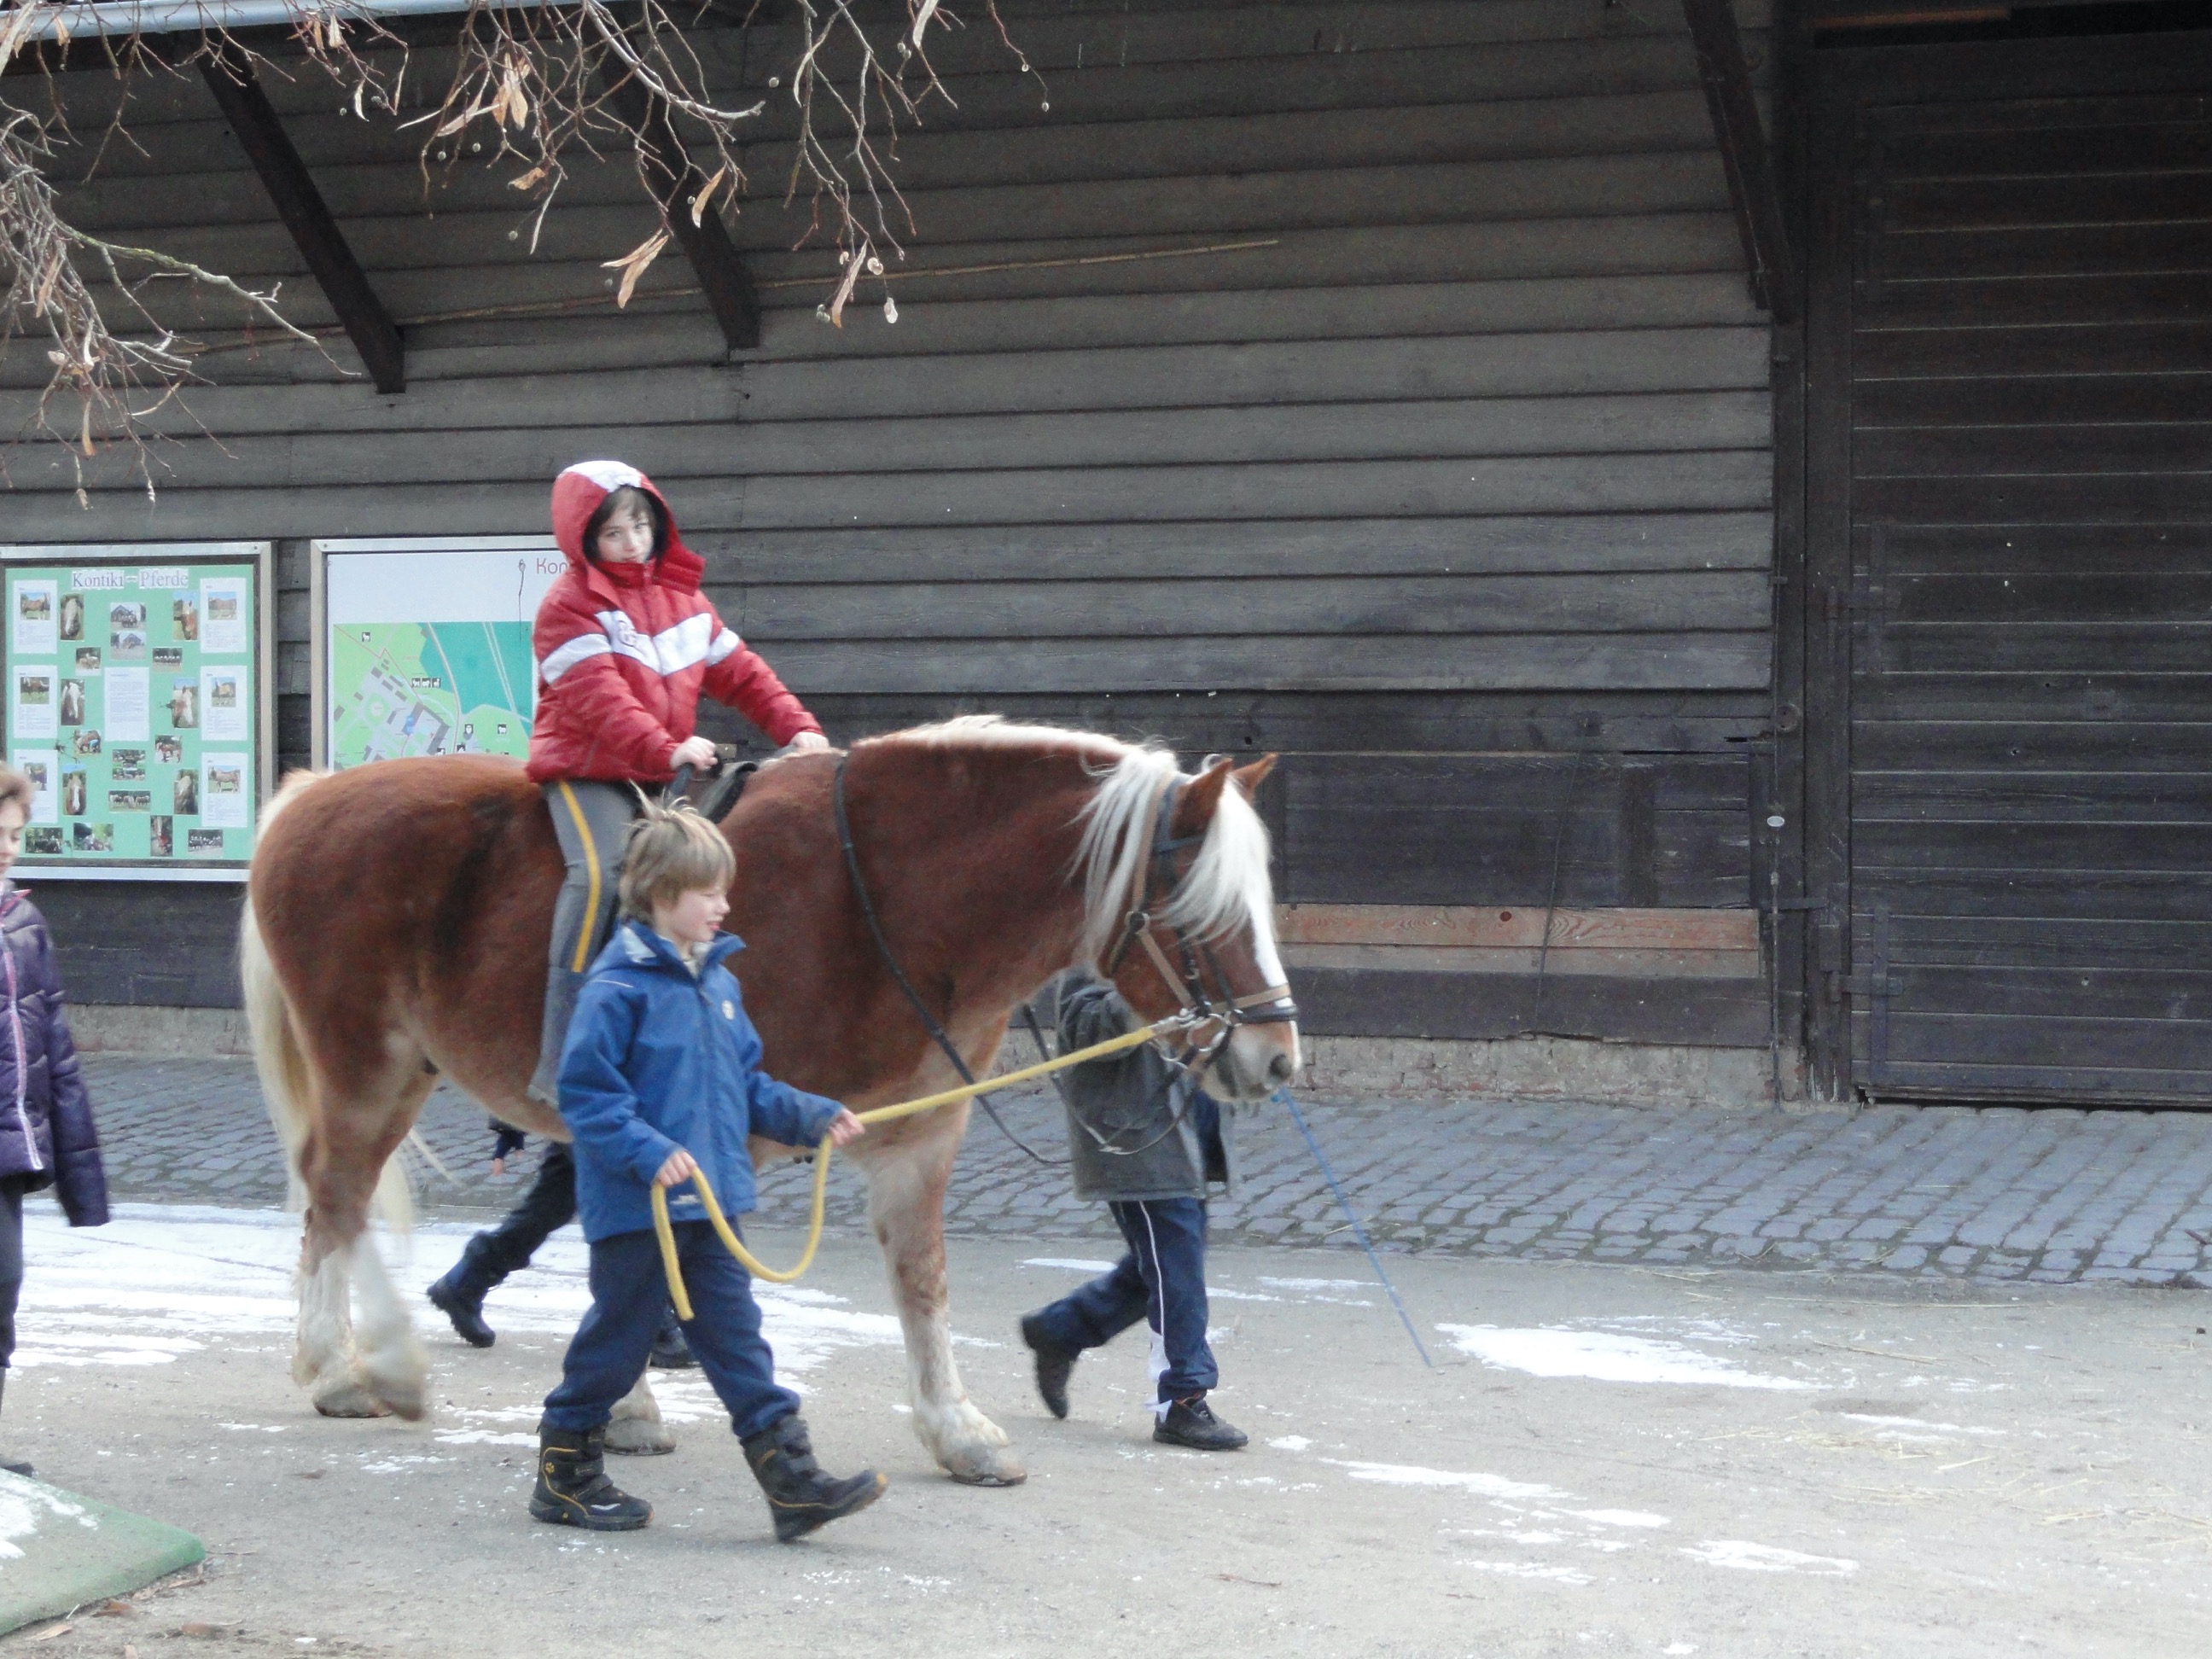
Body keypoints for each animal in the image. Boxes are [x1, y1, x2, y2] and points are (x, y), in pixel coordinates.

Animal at [247, 720, 1291, 1486]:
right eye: (1204, 910)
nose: (1275, 1057)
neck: (880, 902)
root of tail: (311, 795)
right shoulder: (721, 1136)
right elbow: (698, 1283)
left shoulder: (922, 1139)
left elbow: (921, 1280)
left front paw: (954, 1430)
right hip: (368, 1067)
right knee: (336, 1197)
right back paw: (346, 1368)